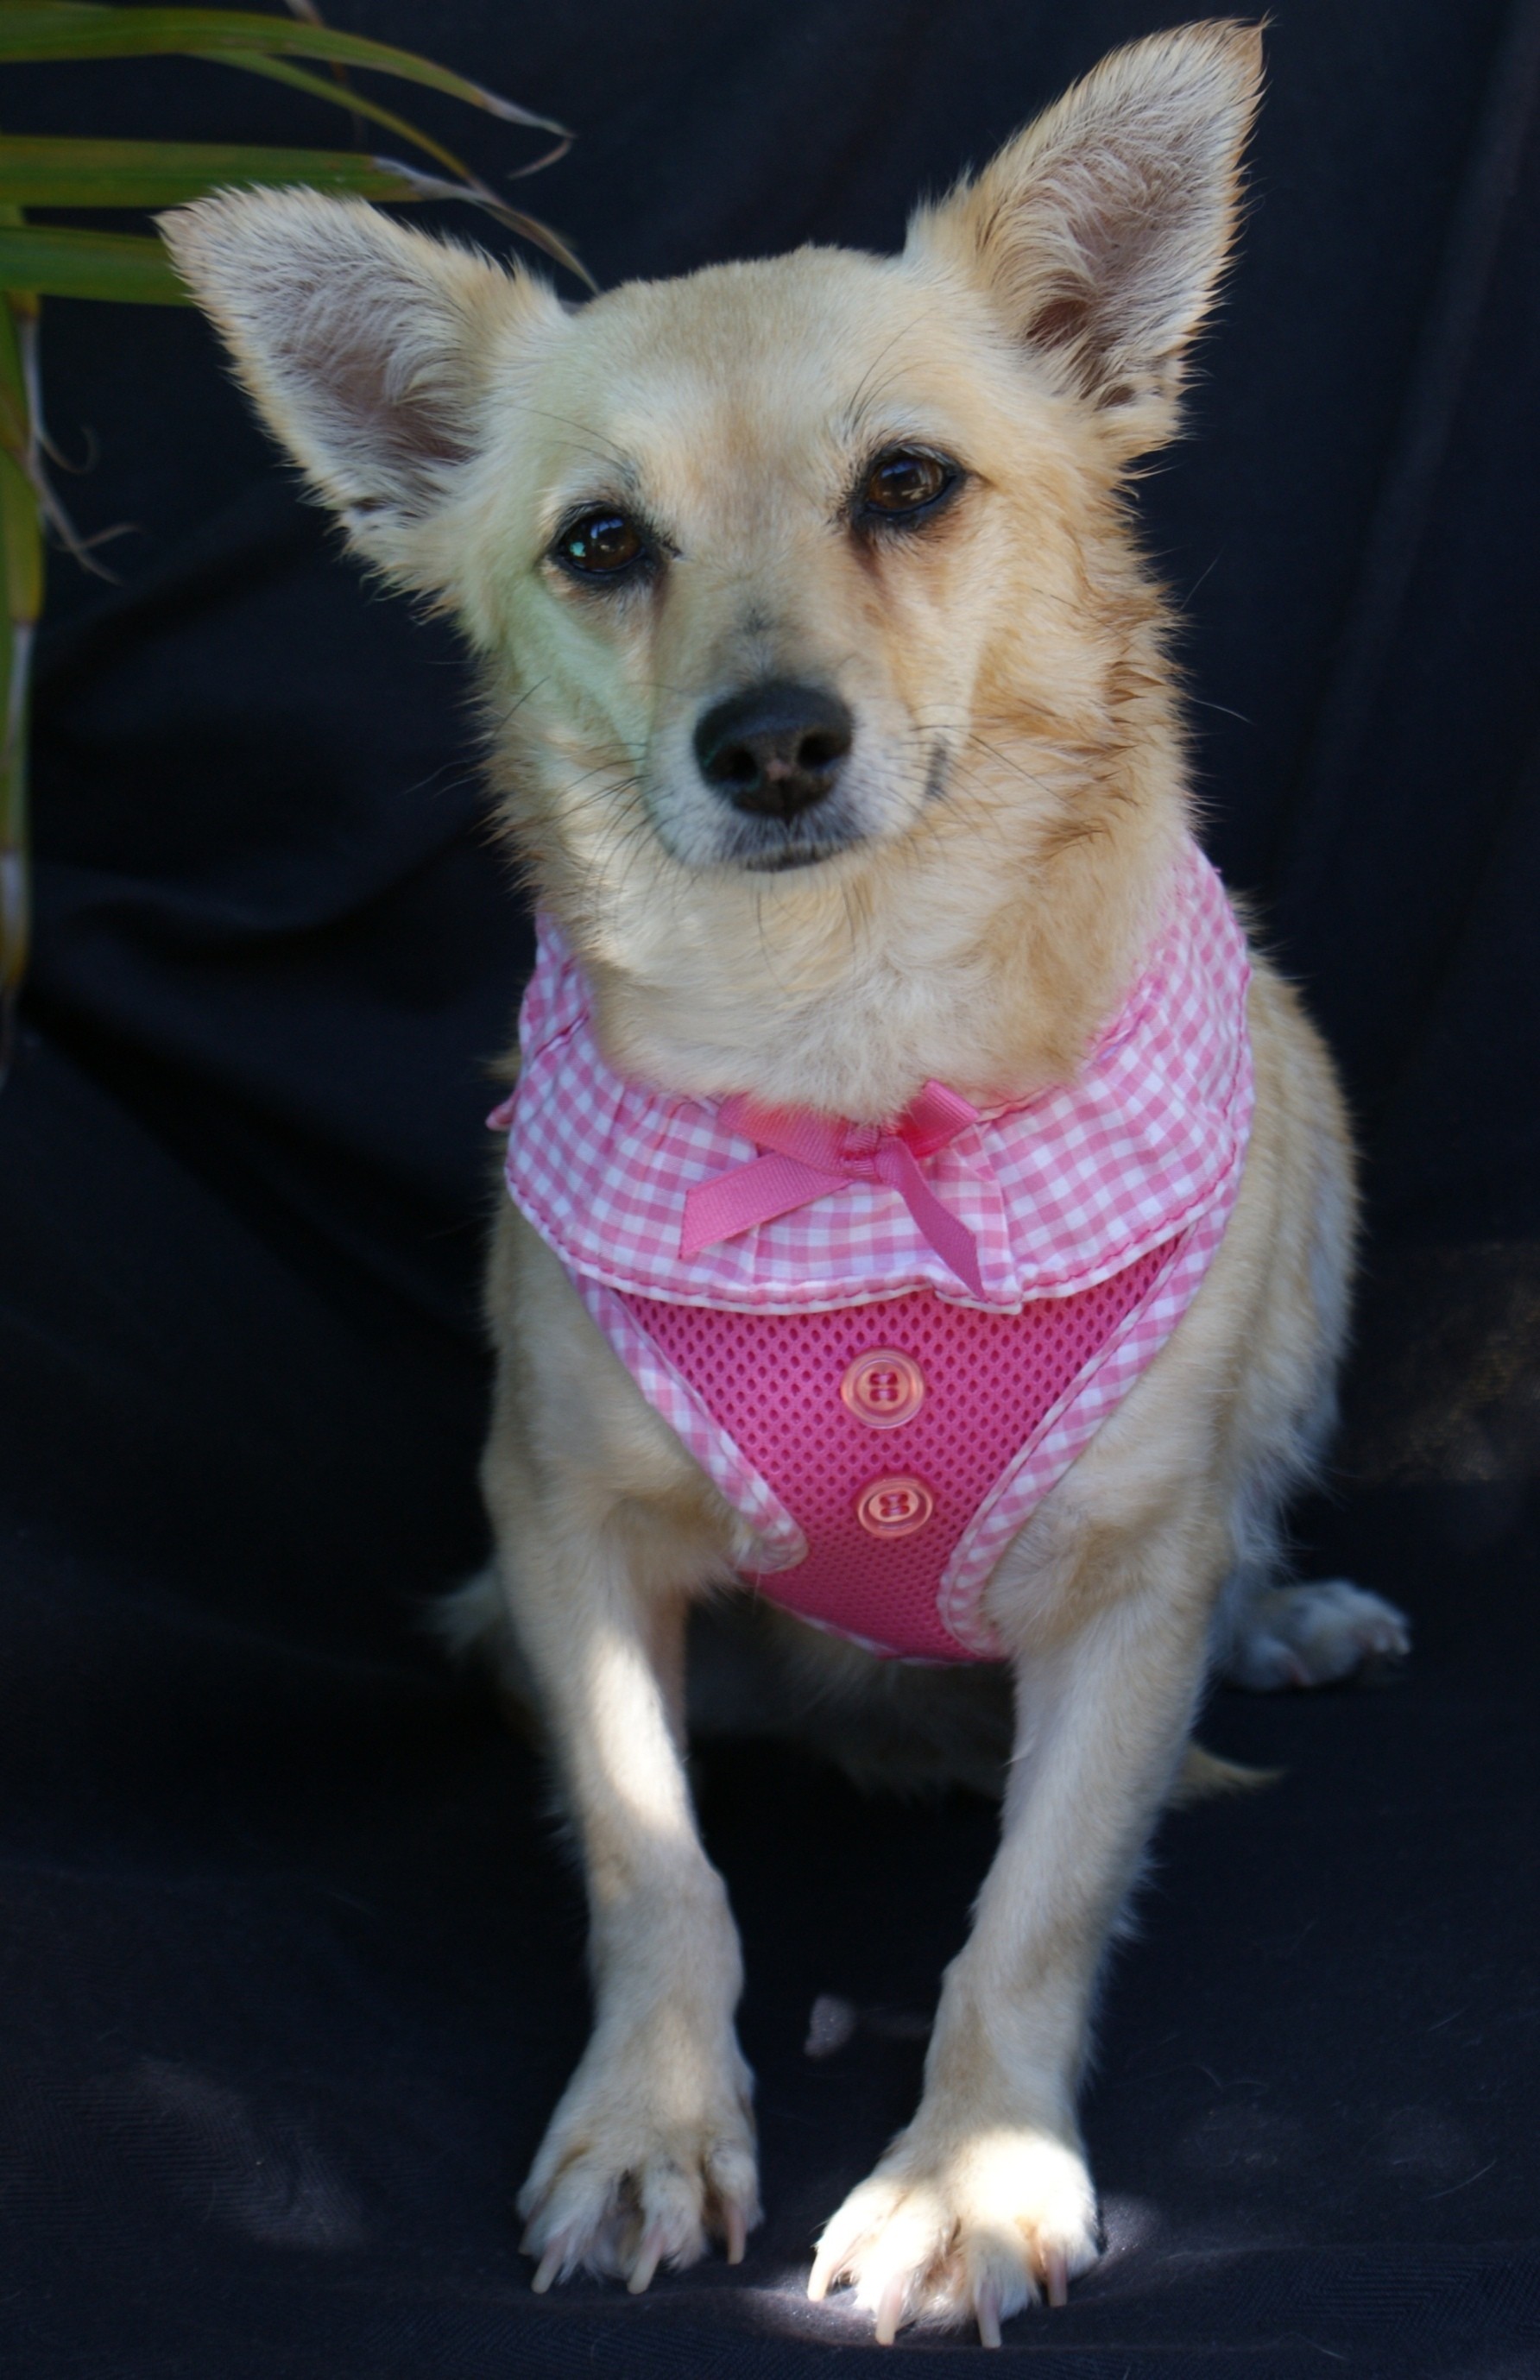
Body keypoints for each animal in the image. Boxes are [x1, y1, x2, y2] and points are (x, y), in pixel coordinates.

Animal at [163, 19, 1410, 2344]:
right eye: (597, 542)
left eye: (906, 486)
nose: (764, 742)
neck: (845, 1068)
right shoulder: (564, 1535)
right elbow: (655, 1859)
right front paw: (649, 2126)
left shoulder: (1122, 1596)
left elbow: (1031, 1905)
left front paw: (967, 2173)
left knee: (1225, 1567)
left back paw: (1284, 1610)